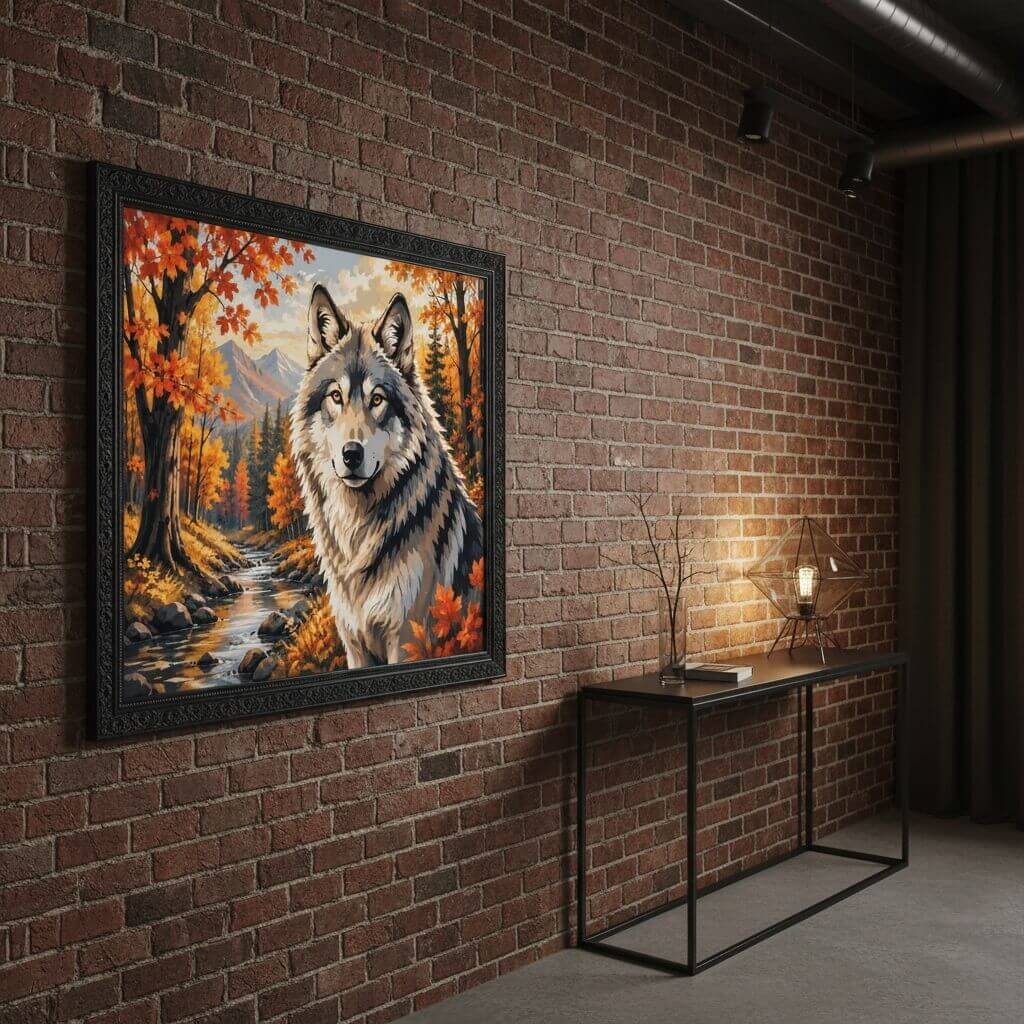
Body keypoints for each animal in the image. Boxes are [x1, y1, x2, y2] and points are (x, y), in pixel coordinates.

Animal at [291, 284, 484, 669]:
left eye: (377, 399)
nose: (351, 454)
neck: (357, 532)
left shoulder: (407, 639)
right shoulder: (354, 645)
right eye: (336, 396)